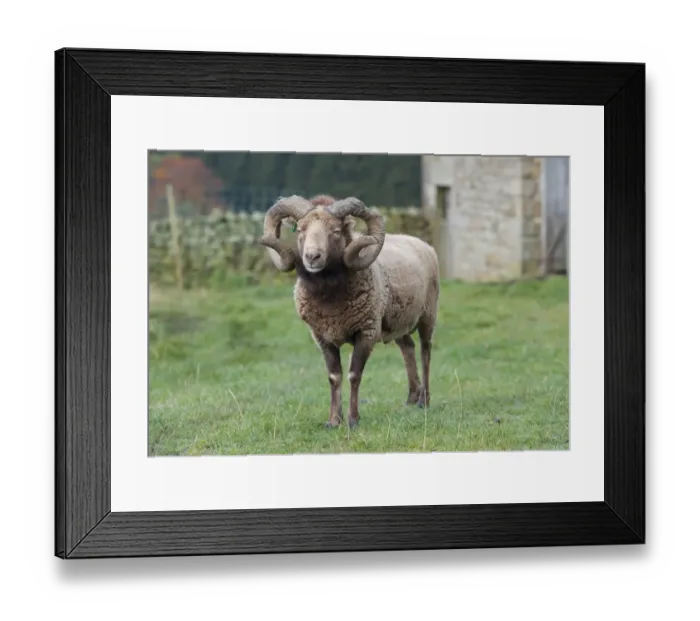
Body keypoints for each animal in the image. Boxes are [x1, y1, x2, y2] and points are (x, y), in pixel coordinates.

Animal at [259, 194, 440, 429]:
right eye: (300, 230)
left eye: (335, 231)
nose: (312, 257)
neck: (329, 299)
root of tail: (421, 243)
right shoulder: (322, 337)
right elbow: (334, 376)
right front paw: (333, 420)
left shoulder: (366, 332)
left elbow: (354, 375)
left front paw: (353, 420)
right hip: (397, 322)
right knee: (408, 348)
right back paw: (411, 397)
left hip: (428, 315)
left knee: (425, 352)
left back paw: (423, 400)